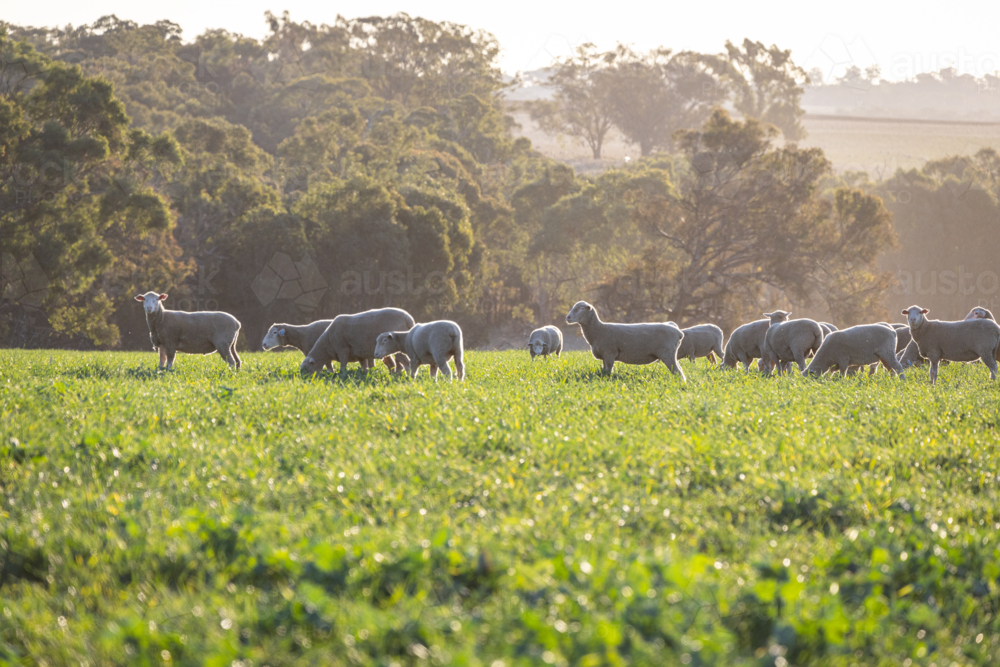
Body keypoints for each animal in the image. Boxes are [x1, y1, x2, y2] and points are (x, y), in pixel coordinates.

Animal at [266, 320, 410, 374]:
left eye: (274, 332)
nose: (264, 344)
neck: (303, 334)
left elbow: (328, 366)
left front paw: (331, 374)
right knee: (391, 362)